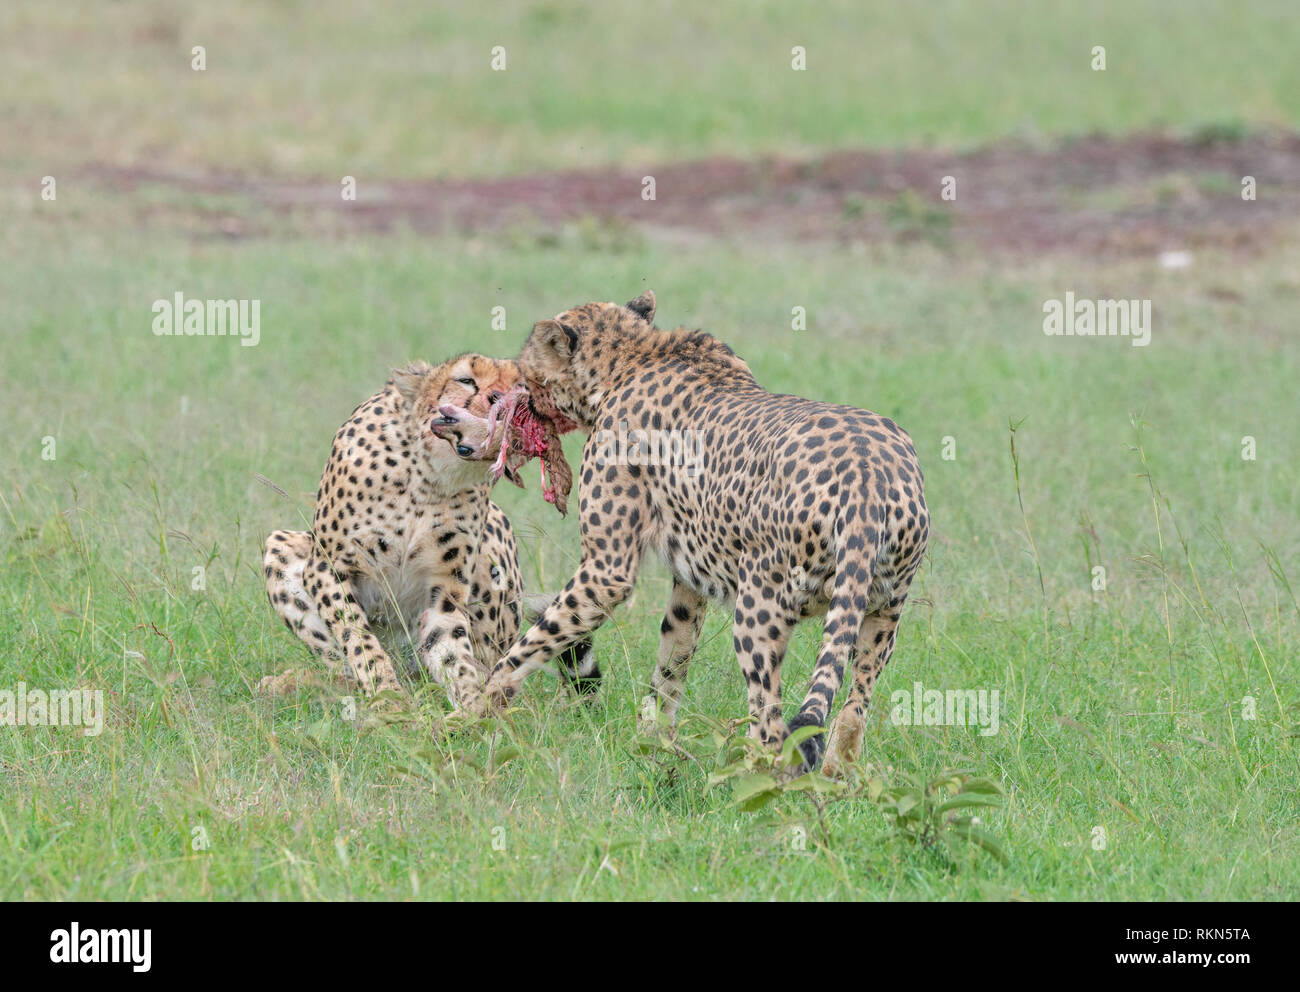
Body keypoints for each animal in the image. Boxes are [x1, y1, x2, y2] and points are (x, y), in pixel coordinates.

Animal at [263, 356, 598, 712]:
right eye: (465, 380)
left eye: (520, 386)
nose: (499, 403)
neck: (429, 475)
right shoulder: (328, 565)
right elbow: (358, 639)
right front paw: (387, 698)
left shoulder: (444, 592)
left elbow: (453, 654)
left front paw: (472, 710)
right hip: (280, 545)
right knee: (343, 668)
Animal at [452, 291, 930, 769]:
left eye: (528, 373)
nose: (516, 399)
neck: (631, 356)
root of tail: (868, 472)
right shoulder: (690, 581)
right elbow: (671, 663)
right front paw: (653, 746)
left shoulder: (607, 571)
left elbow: (531, 644)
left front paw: (469, 713)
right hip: (882, 614)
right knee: (852, 711)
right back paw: (832, 777)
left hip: (759, 606)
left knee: (772, 724)